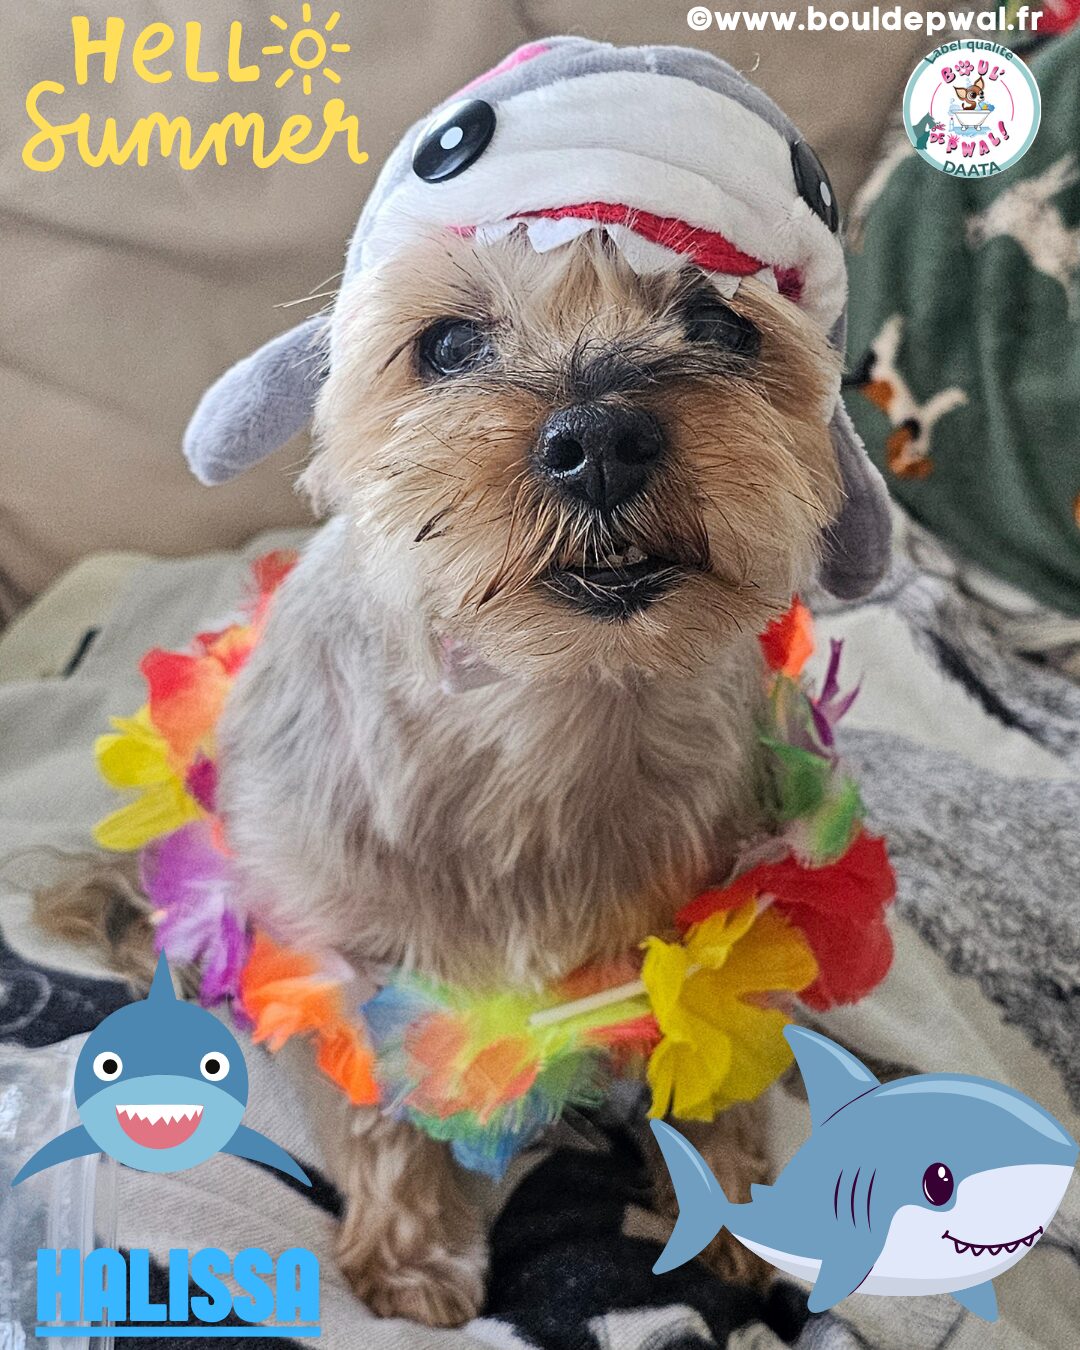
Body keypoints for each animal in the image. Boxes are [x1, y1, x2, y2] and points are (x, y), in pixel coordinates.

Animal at [44, 39, 893, 1329]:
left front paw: (741, 1211)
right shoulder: (336, 938)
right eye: (446, 345)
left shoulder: (722, 911)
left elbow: (717, 1051)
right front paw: (411, 1257)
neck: (550, 702)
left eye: (720, 323)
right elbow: (381, 1105)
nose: (600, 439)